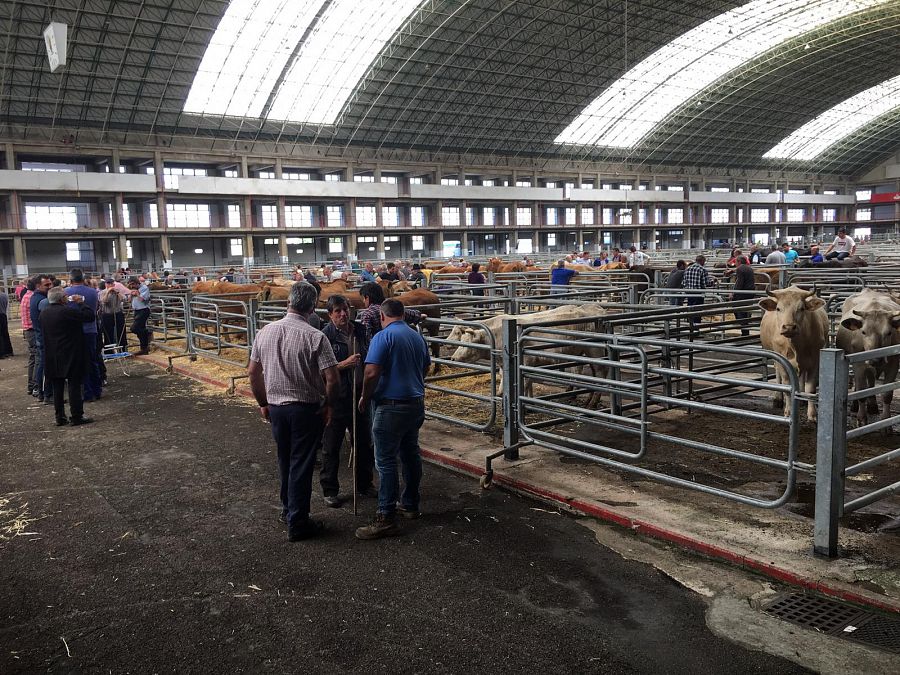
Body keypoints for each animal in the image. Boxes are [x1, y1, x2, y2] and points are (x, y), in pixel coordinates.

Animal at [448, 304, 608, 406]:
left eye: (465, 342)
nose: (452, 358)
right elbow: (504, 383)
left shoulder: (526, 361)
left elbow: (524, 384)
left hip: (595, 351)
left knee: (600, 373)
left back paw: (592, 403)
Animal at [756, 286, 828, 422]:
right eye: (778, 308)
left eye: (802, 308)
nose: (789, 327)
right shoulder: (782, 362)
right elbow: (787, 386)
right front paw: (788, 412)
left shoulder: (815, 361)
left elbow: (810, 388)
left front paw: (812, 415)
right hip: (776, 358)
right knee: (778, 375)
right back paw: (778, 399)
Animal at [836, 286, 900, 426]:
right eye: (863, 332)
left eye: (889, 332)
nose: (876, 359)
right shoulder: (859, 364)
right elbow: (861, 390)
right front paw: (861, 419)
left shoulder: (894, 363)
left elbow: (887, 394)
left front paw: (886, 421)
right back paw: (856, 406)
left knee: (870, 382)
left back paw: (873, 406)